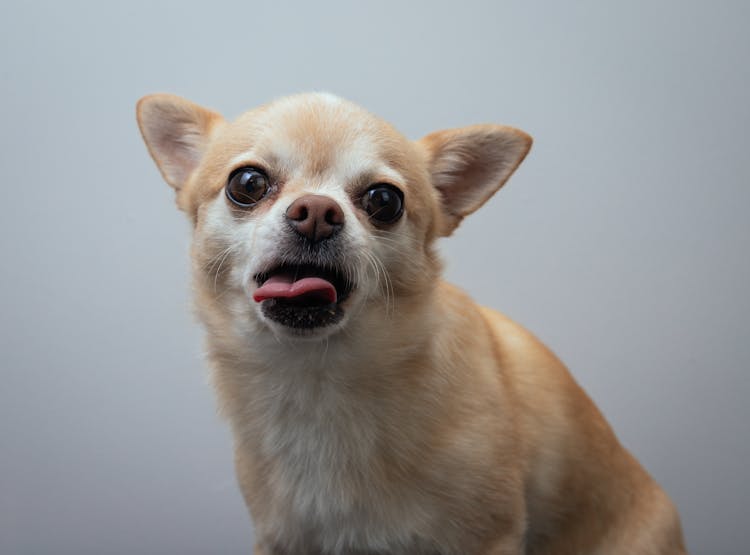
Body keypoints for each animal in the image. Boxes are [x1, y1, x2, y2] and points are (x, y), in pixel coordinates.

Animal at [135, 93, 688, 552]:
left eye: (384, 200)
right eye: (247, 183)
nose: (316, 211)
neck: (318, 379)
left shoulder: (489, 538)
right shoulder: (285, 539)